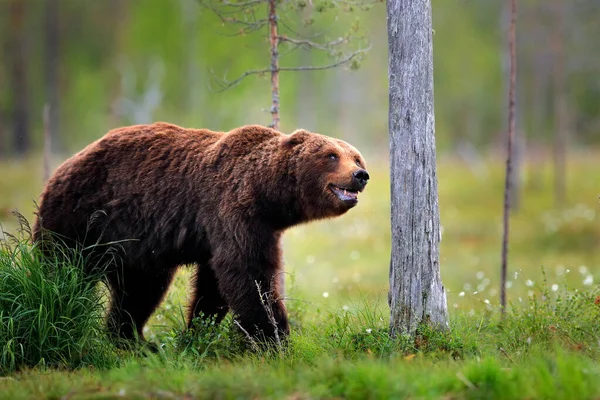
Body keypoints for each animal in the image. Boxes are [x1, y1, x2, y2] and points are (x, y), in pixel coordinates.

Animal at [34, 122, 370, 344]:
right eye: (331, 155)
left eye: (356, 156)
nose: (360, 175)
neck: (266, 194)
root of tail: (61, 169)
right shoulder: (232, 210)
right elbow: (249, 275)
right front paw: (274, 336)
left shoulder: (246, 228)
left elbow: (215, 285)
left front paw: (198, 330)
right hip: (80, 218)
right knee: (62, 273)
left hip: (134, 247)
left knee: (139, 291)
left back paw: (134, 340)